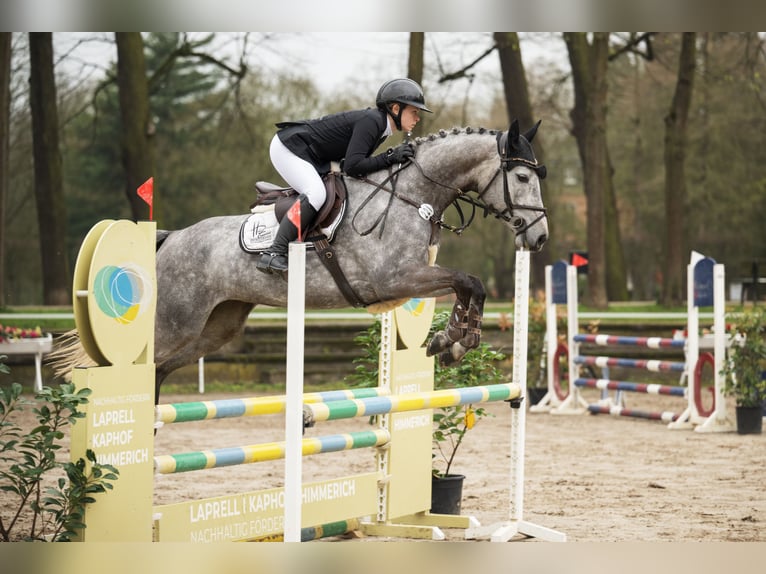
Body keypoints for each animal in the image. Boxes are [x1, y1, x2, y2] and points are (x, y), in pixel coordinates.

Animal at [51, 120, 548, 404]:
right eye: (522, 177)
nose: (539, 238)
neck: (412, 194)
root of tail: (171, 238)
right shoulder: (396, 279)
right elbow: (469, 280)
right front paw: (453, 340)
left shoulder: (410, 280)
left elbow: (469, 284)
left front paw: (455, 341)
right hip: (175, 322)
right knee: (121, 368)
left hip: (216, 326)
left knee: (159, 371)